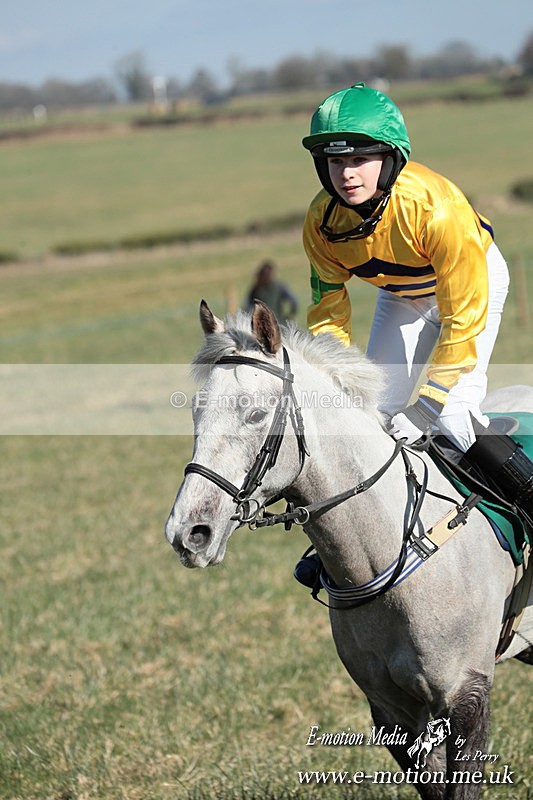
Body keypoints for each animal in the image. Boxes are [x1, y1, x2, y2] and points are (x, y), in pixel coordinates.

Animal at [165, 300, 533, 800]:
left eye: (256, 415)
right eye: (196, 412)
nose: (189, 532)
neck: (391, 551)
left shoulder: (467, 697)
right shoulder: (393, 712)